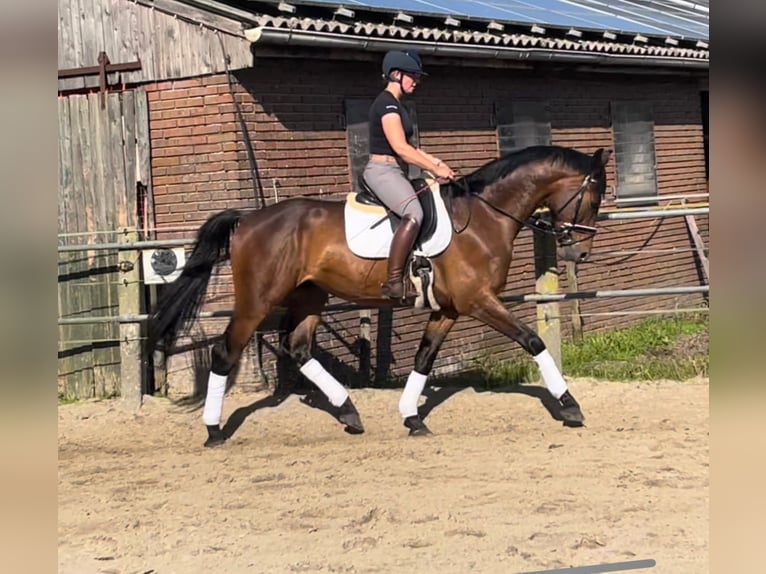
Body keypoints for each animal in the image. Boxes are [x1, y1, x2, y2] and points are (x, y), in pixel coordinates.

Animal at [150, 145, 616, 450]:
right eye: (594, 198)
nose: (580, 253)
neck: (483, 216)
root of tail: (248, 219)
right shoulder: (478, 301)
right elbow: (532, 341)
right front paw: (570, 406)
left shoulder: (448, 309)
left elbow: (424, 358)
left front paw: (411, 417)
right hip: (257, 301)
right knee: (226, 353)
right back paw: (214, 432)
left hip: (310, 296)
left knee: (298, 348)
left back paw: (349, 413)